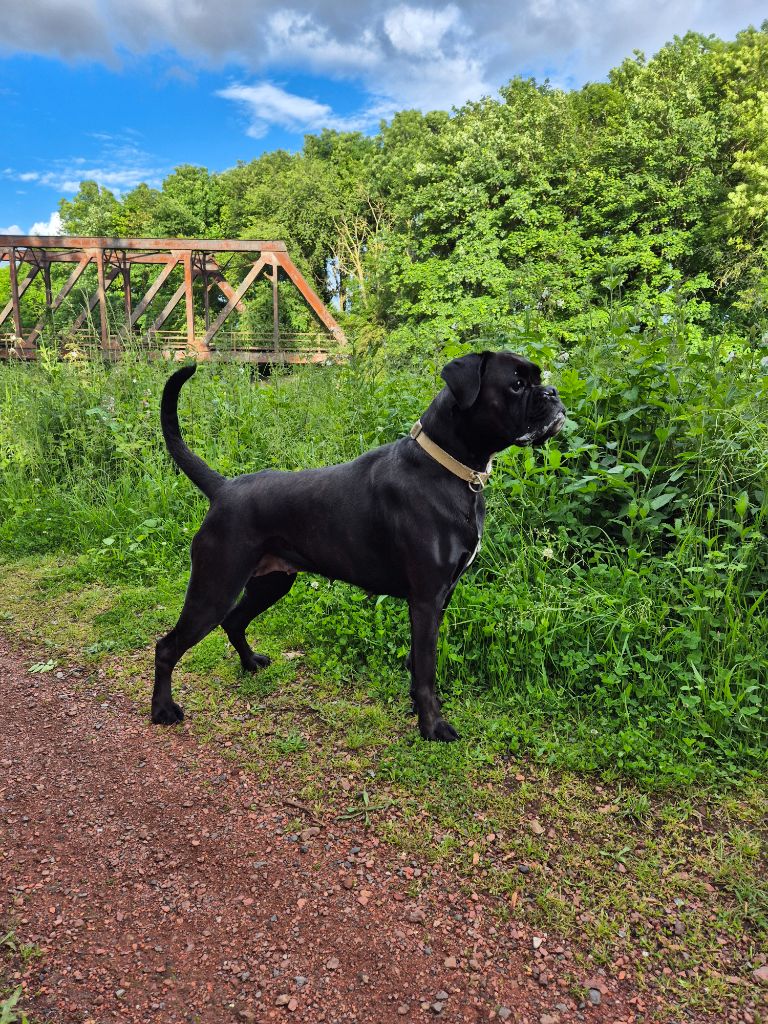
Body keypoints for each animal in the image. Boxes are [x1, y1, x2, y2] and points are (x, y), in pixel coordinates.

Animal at [154, 356, 565, 741]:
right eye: (516, 384)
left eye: (537, 378)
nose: (552, 393)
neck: (448, 468)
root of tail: (223, 488)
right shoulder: (426, 599)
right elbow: (427, 670)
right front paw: (432, 726)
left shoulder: (440, 597)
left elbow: (417, 663)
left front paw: (418, 709)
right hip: (214, 588)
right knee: (168, 646)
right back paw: (163, 710)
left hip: (271, 583)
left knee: (235, 620)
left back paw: (250, 662)